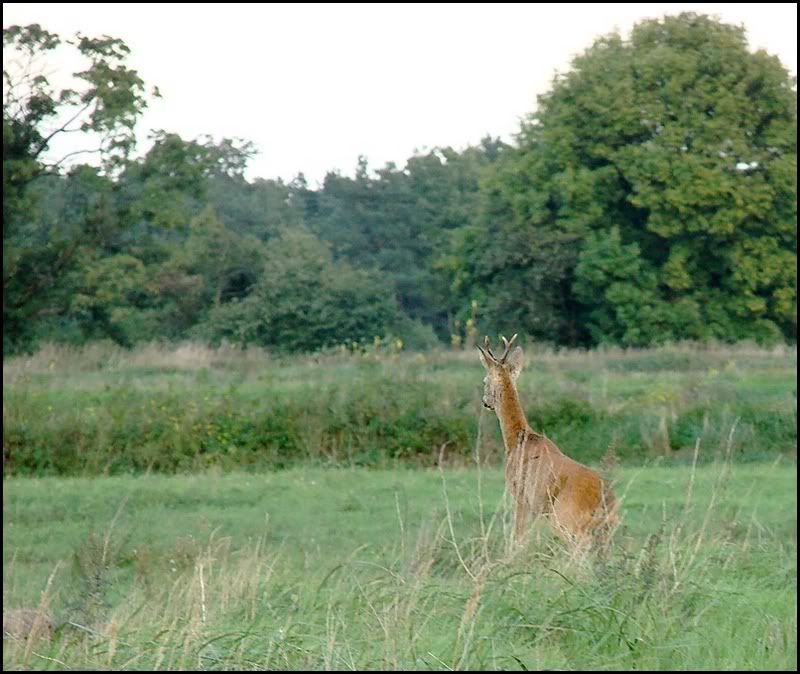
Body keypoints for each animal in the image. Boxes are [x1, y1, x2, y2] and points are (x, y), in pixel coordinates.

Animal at [476, 334, 620, 544]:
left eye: (484, 380)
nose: (485, 402)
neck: (519, 440)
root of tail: (606, 498)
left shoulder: (520, 494)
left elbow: (517, 536)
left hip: (567, 518)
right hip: (605, 528)